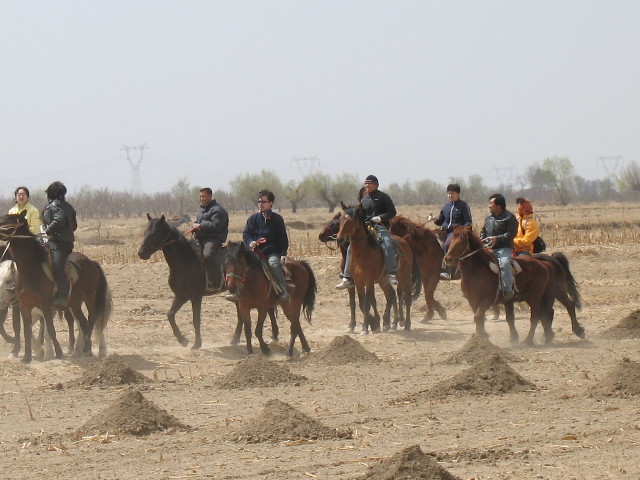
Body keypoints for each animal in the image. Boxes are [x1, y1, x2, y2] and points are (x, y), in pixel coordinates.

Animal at [0, 212, 111, 362]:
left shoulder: (46, 305)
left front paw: (55, 352)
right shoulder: (24, 305)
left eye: (7, 221)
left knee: (93, 318)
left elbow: (50, 330)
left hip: (89, 298)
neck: (31, 270)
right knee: (83, 322)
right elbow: (26, 330)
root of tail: (91, 262)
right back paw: (79, 349)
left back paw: (89, 348)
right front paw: (27, 356)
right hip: (74, 303)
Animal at [138, 214, 280, 348]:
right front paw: (183, 340)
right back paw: (236, 339)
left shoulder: (196, 297)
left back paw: (274, 335)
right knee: (243, 313)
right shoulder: (181, 296)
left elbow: (196, 320)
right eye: (145, 232)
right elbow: (170, 315)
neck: (185, 261)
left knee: (267, 308)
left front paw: (197, 344)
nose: (141, 253)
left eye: (156, 233)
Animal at [336, 202, 420, 334]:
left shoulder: (369, 281)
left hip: (405, 278)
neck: (362, 253)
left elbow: (367, 303)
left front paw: (366, 328)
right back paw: (387, 323)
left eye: (351, 221)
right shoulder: (358, 282)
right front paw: (373, 324)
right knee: (391, 295)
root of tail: (405, 242)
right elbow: (360, 302)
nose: (339, 239)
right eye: (340, 220)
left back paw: (406, 325)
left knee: (406, 299)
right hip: (383, 280)